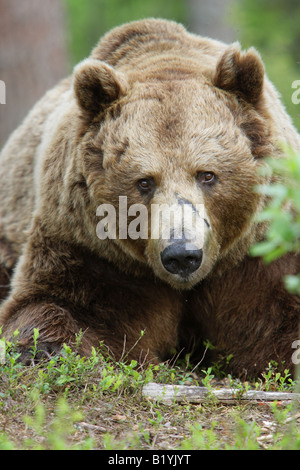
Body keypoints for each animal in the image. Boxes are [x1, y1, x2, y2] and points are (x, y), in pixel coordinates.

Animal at [0, 19, 300, 378]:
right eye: (144, 182)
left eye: (207, 174)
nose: (182, 255)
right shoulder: (94, 251)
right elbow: (55, 301)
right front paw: (41, 348)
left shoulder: (259, 251)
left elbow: (277, 319)